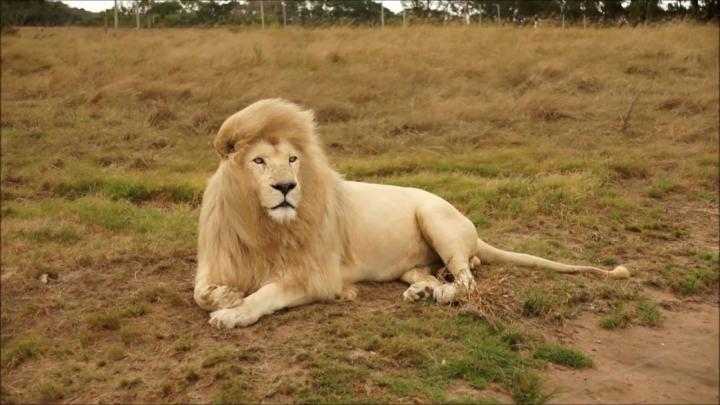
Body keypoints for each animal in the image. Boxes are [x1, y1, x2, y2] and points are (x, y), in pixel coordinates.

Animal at [194, 98, 630, 329]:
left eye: (293, 159)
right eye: (259, 161)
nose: (286, 187)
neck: (264, 225)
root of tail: (472, 227)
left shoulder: (319, 276)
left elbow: (268, 293)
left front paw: (233, 312)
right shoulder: (219, 259)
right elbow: (201, 292)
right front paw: (226, 295)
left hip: (436, 218)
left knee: (468, 279)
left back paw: (445, 292)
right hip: (412, 262)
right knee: (437, 275)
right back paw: (422, 291)